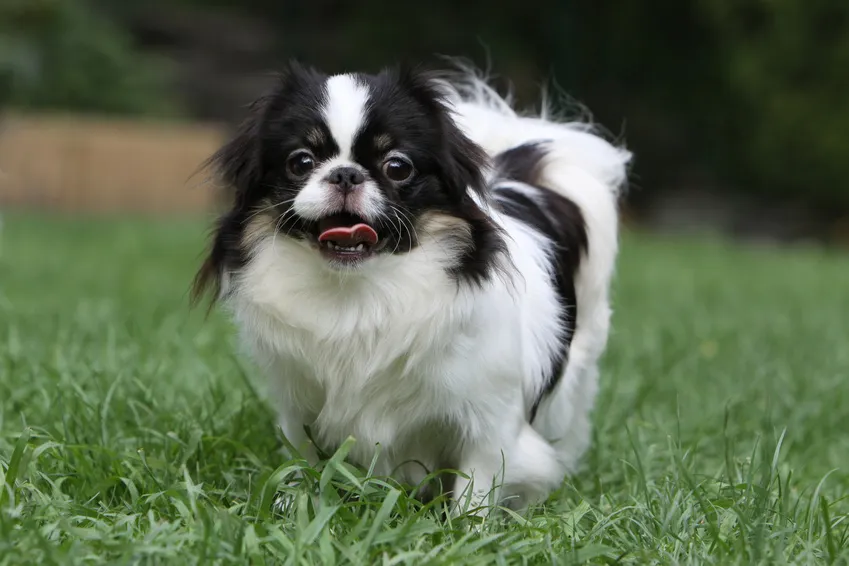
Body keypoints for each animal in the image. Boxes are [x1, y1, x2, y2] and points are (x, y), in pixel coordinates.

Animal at [192, 61, 628, 516]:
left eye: (397, 166)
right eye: (301, 161)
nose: (345, 173)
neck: (358, 292)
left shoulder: (488, 422)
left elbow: (475, 488)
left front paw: (466, 527)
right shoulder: (302, 411)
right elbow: (306, 462)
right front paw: (300, 505)